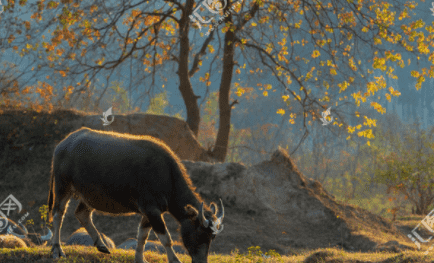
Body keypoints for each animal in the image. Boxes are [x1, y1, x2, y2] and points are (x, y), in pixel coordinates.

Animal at [47, 128, 224, 263]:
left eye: (212, 238)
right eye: (200, 233)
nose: (201, 261)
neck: (167, 176)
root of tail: (62, 145)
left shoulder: (149, 212)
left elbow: (142, 237)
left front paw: (140, 259)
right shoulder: (152, 210)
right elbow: (165, 238)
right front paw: (175, 260)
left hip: (89, 196)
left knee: (82, 213)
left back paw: (101, 245)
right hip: (62, 187)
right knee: (58, 215)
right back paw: (57, 249)